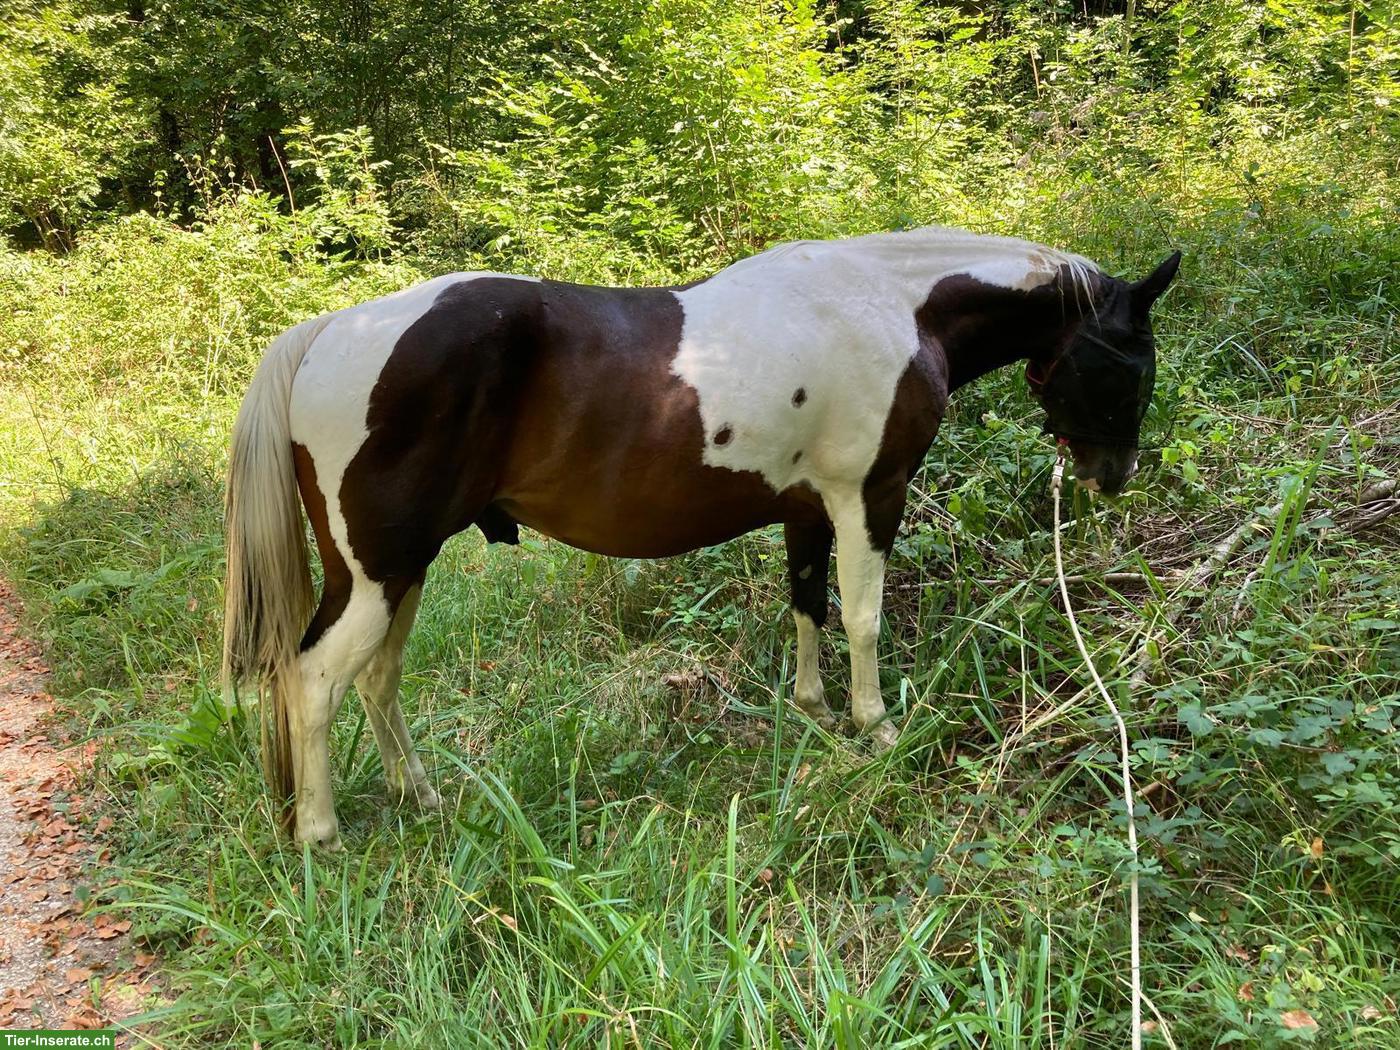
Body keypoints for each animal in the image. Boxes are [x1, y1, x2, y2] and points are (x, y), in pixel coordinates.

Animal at [222, 224, 1180, 848]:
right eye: (1131, 364)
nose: (1113, 476)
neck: (893, 308)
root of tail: (327, 334)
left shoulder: (808, 509)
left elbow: (808, 608)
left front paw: (816, 715)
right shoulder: (869, 496)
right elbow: (863, 618)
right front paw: (875, 730)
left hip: (403, 570)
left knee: (376, 679)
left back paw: (418, 794)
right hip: (376, 573)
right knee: (314, 682)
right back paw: (321, 835)